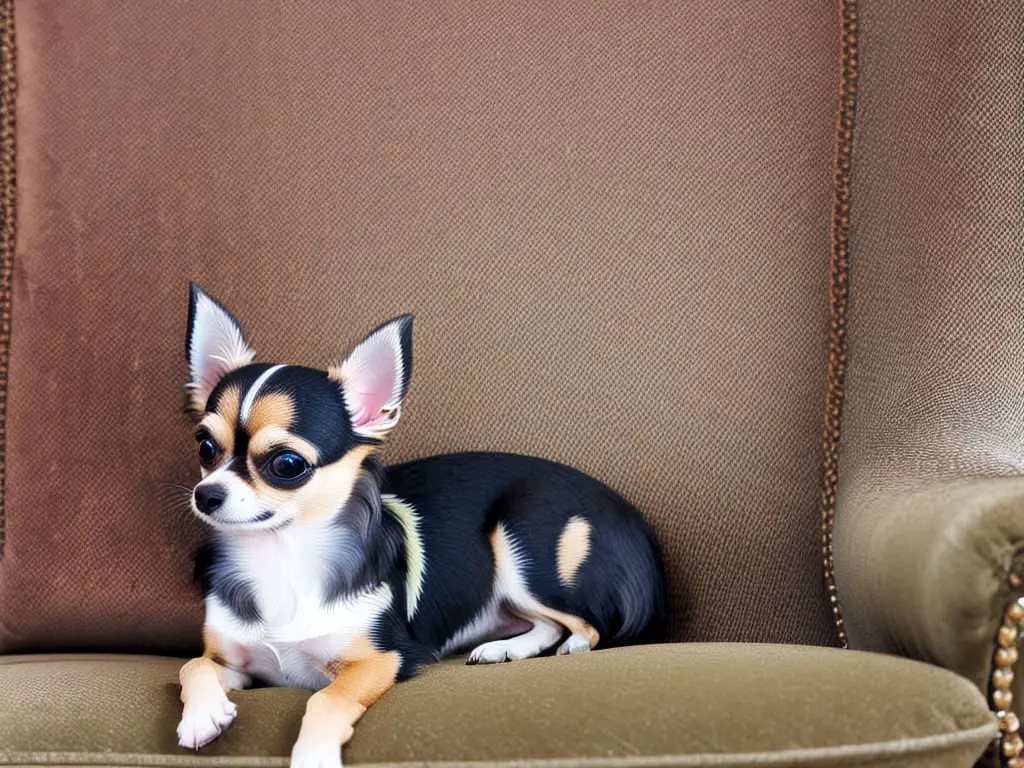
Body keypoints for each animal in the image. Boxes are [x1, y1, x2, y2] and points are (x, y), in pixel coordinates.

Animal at [178, 286, 663, 768]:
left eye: (288, 464)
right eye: (205, 447)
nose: (206, 494)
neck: (282, 558)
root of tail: (629, 518)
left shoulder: (385, 658)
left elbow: (324, 700)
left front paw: (313, 756)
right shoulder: (233, 663)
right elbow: (192, 665)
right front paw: (203, 715)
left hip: (520, 545)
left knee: (584, 625)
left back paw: (568, 647)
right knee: (545, 624)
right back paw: (504, 648)